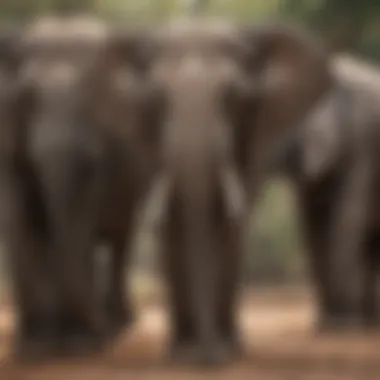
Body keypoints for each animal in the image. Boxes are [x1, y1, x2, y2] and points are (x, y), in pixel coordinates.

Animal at [1, 16, 154, 360]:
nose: (95, 333)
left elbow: (80, 219)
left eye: (90, 100)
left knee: (120, 237)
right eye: (27, 98)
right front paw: (34, 348)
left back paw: (118, 325)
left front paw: (77, 345)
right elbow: (19, 219)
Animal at [134, 17, 332, 366]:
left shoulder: (254, 130)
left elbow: (229, 220)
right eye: (157, 97)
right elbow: (172, 222)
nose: (206, 360)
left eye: (232, 95)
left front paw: (228, 350)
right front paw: (179, 354)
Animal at [272, 56, 380, 332]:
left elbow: (345, 218)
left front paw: (342, 326)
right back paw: (369, 320)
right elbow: (313, 225)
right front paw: (326, 323)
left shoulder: (364, 147)